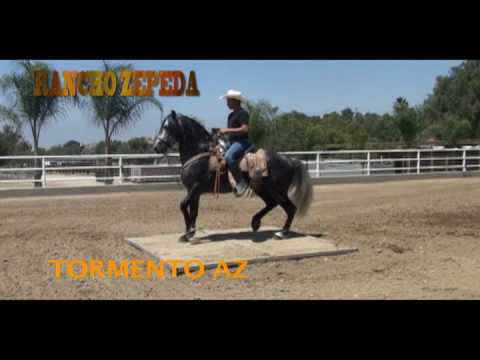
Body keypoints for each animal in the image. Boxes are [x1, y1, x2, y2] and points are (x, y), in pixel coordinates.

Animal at [152, 110, 314, 242]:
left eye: (167, 126)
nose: (156, 147)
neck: (200, 153)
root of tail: (289, 160)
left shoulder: (195, 188)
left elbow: (182, 205)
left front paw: (189, 233)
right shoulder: (194, 192)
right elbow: (193, 212)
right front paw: (189, 233)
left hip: (277, 190)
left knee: (290, 208)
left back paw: (282, 233)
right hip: (262, 189)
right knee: (272, 204)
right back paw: (255, 222)